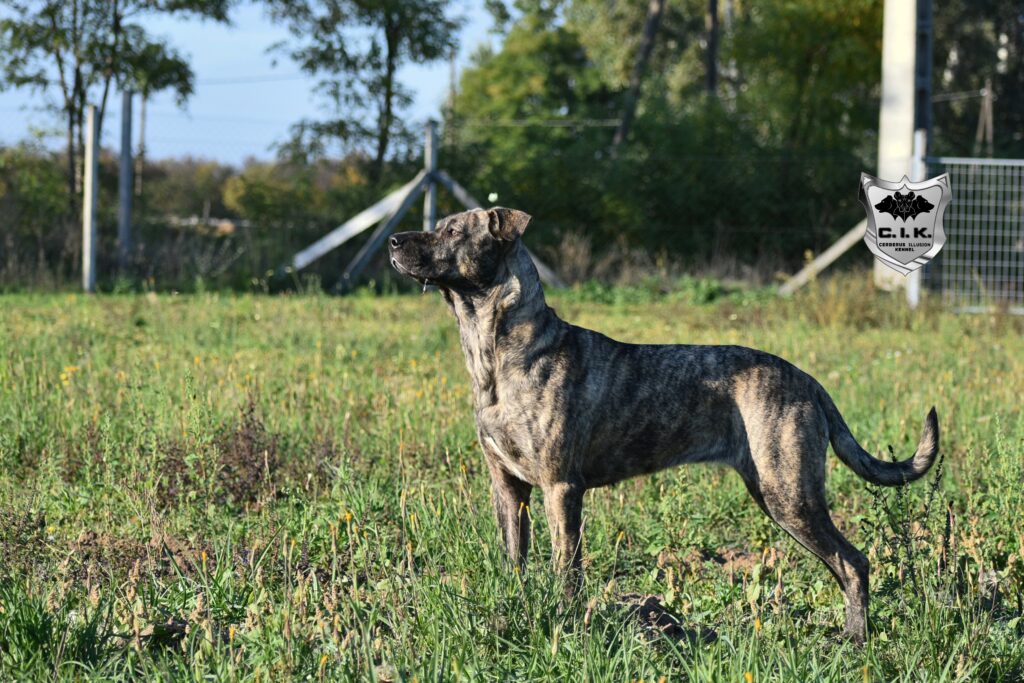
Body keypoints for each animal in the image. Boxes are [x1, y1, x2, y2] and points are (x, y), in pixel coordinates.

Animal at [387, 205, 937, 643]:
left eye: (453, 231)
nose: (393, 241)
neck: (497, 352)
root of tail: (809, 381)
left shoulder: (561, 488)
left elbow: (567, 568)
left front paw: (565, 622)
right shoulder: (508, 486)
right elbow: (515, 559)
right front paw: (518, 607)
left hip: (789, 494)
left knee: (854, 562)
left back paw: (854, 640)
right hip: (776, 491)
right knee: (846, 564)